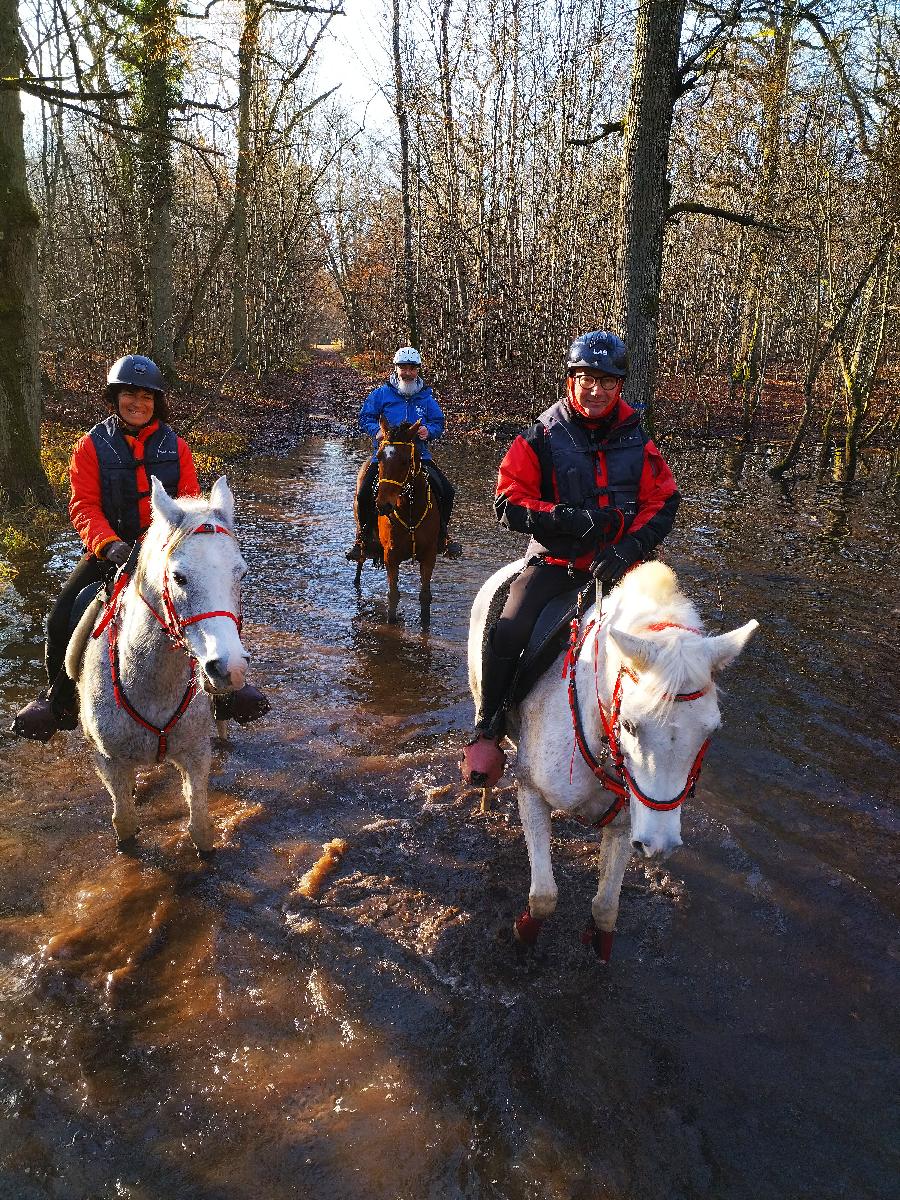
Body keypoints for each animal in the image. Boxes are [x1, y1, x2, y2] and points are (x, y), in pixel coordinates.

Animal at [67, 475, 252, 854]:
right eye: (179, 577)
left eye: (240, 573)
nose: (230, 669)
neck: (151, 685)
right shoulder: (109, 762)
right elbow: (124, 823)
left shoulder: (196, 754)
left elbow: (200, 827)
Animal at [355, 417, 444, 624]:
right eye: (380, 457)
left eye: (405, 461)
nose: (383, 505)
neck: (409, 509)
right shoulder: (391, 556)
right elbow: (393, 595)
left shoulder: (429, 556)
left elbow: (425, 596)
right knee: (360, 560)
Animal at [472, 556, 763, 960]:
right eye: (629, 724)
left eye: (712, 730)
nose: (659, 845)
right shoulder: (531, 790)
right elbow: (545, 896)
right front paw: (523, 933)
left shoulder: (627, 823)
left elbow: (607, 907)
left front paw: (599, 946)